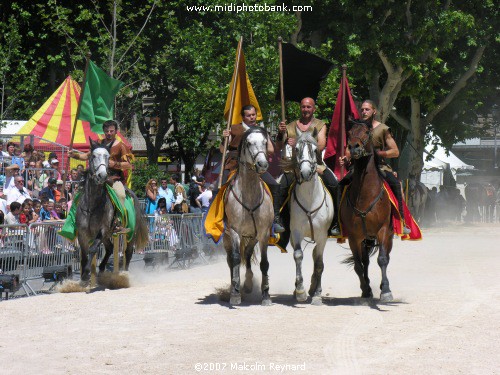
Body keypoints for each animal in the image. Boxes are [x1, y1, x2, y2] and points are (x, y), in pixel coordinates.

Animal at [75, 140, 147, 284]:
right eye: (93, 156)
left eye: (108, 157)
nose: (102, 175)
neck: (92, 206)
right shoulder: (82, 233)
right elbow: (84, 255)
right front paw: (83, 279)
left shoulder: (102, 230)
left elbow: (92, 249)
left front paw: (86, 274)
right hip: (109, 235)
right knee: (109, 248)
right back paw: (102, 269)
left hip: (129, 232)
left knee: (128, 252)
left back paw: (125, 275)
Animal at [225, 128, 274, 306]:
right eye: (248, 143)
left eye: (265, 142)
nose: (262, 164)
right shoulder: (234, 231)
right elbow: (235, 259)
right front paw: (235, 294)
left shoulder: (263, 233)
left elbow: (264, 263)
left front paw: (266, 295)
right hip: (227, 238)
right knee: (232, 260)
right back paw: (236, 286)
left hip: (253, 236)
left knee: (246, 253)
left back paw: (247, 283)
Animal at [284, 132, 334, 306]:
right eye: (297, 149)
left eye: (314, 149)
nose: (305, 173)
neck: (310, 200)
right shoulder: (296, 233)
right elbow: (298, 256)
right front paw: (300, 291)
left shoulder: (322, 236)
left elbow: (319, 263)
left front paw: (317, 295)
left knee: (317, 258)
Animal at [340, 120, 394, 302]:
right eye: (349, 132)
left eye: (367, 132)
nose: (353, 147)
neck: (365, 195)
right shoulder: (354, 237)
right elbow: (358, 264)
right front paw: (365, 289)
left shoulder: (383, 230)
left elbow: (383, 259)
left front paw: (386, 290)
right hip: (364, 239)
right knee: (365, 261)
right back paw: (369, 287)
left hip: (387, 236)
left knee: (386, 257)